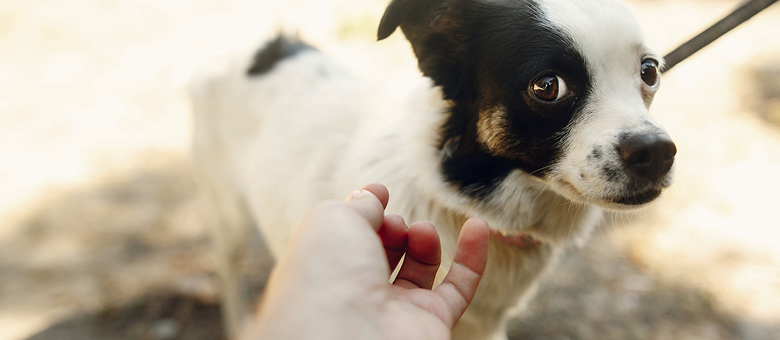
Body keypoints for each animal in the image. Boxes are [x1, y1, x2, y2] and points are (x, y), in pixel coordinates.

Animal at [186, 0, 672, 338]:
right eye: (547, 86)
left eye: (649, 70)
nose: (658, 152)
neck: (460, 197)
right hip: (226, 212)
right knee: (227, 271)